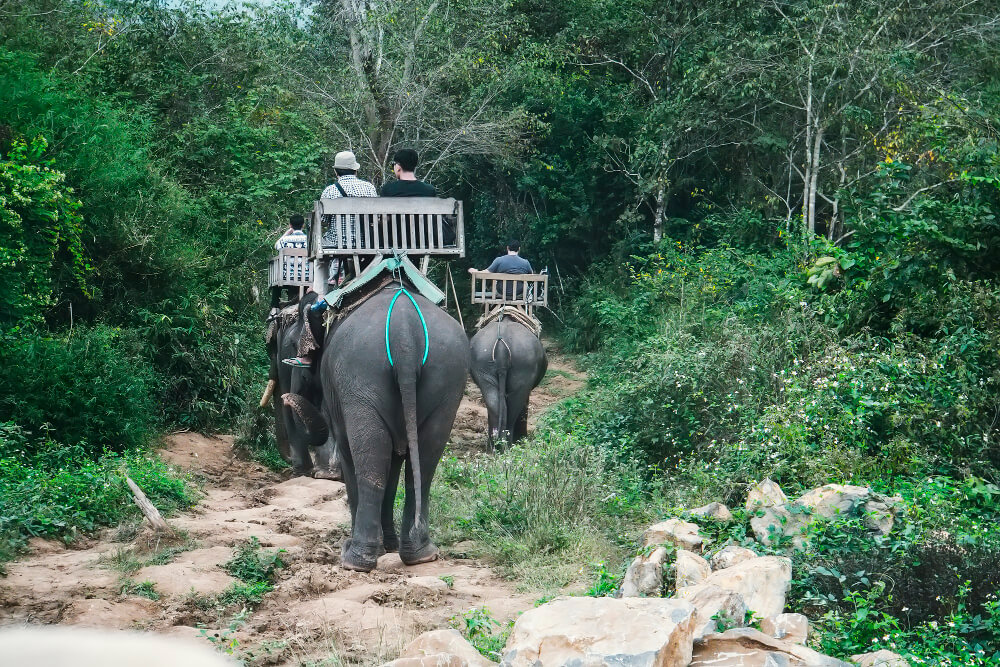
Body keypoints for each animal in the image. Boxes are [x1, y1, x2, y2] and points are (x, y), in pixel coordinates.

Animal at [286, 284, 464, 572]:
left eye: (294, 345)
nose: (286, 396)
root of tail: (404, 333)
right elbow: (394, 462)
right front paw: (388, 545)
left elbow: (350, 453)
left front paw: (374, 547)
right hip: (447, 379)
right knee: (425, 461)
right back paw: (421, 555)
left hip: (361, 375)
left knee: (370, 460)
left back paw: (354, 560)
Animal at [470, 316, 548, 452]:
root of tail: (501, 348)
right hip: (524, 366)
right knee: (514, 406)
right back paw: (509, 445)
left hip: (482, 364)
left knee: (493, 403)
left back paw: (495, 446)